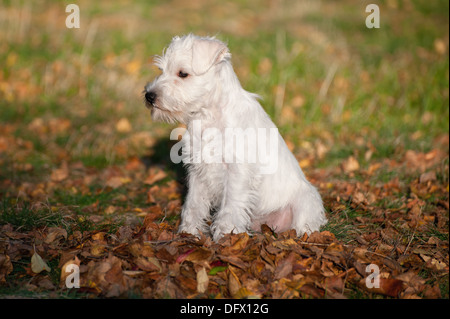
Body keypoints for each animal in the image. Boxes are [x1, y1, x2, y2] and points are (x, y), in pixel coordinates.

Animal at [144, 33, 326, 241]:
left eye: (183, 73)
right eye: (162, 70)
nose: (149, 96)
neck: (209, 115)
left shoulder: (237, 172)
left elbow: (230, 206)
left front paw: (226, 235)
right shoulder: (198, 172)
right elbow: (193, 205)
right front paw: (189, 232)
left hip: (306, 200)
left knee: (306, 225)